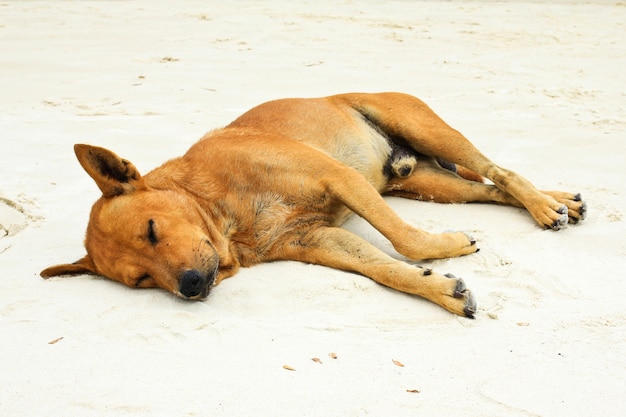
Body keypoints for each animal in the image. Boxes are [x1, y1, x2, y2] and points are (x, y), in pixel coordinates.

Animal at [39, 93, 584, 316]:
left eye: (152, 229)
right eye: (140, 281)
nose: (192, 287)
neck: (225, 212)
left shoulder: (338, 178)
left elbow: (406, 241)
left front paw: (445, 246)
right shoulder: (319, 240)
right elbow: (385, 268)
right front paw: (440, 289)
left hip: (428, 132)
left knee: (500, 171)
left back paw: (544, 207)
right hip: (432, 185)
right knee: (491, 187)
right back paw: (560, 201)